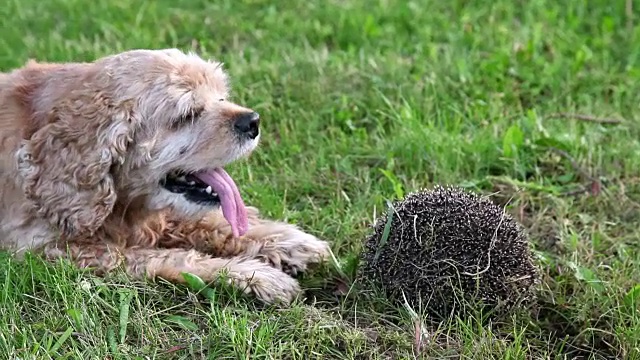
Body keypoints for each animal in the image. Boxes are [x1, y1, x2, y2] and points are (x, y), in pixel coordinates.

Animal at [0, 48, 332, 304]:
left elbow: (210, 222)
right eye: (187, 115)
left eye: (220, 98)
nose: (253, 121)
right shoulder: (48, 249)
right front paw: (255, 275)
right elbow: (170, 258)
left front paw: (290, 242)